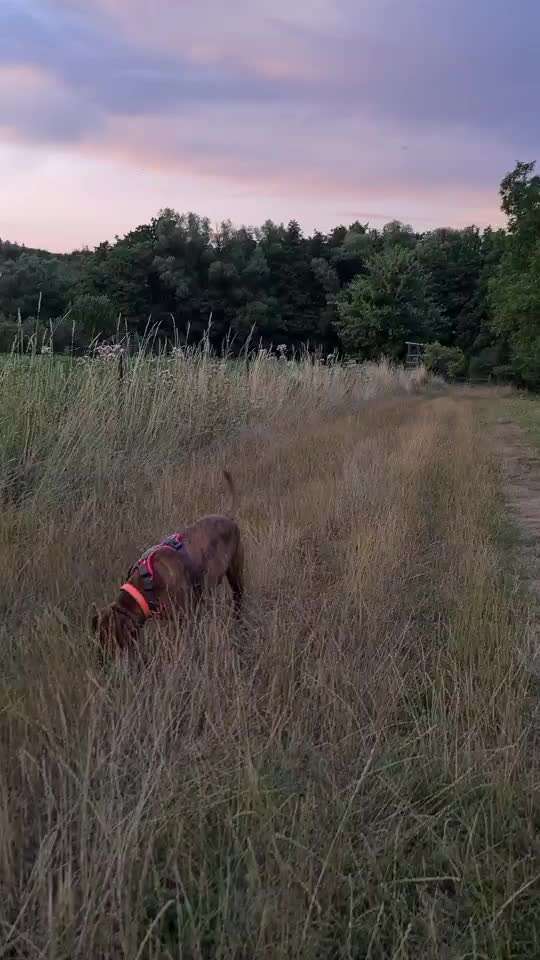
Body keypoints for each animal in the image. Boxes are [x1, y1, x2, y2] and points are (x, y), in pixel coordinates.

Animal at [92, 470, 244, 656]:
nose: (101, 660)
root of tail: (227, 517)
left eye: (108, 639)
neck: (146, 584)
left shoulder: (185, 616)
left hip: (236, 572)